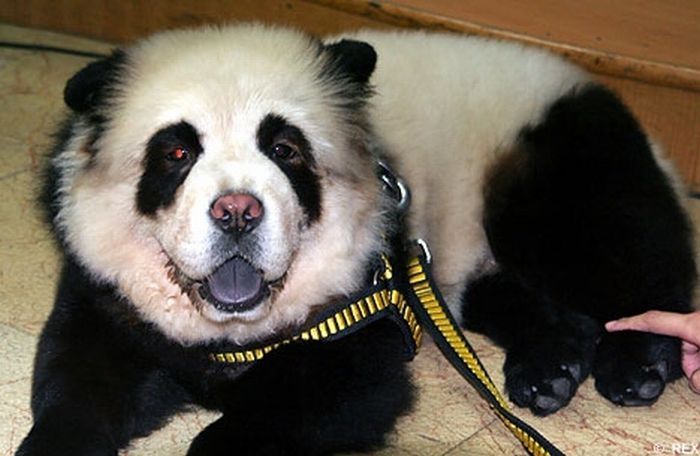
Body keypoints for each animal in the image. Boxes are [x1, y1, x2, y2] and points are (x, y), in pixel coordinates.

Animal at [19, 25, 696, 456]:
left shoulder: (362, 303)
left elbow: (340, 393)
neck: (231, 329)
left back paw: (637, 365)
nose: (237, 212)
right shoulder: (109, 290)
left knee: (618, 256)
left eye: (284, 149)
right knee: (514, 297)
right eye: (177, 153)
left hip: (548, 156)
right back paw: (551, 368)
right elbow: (76, 377)